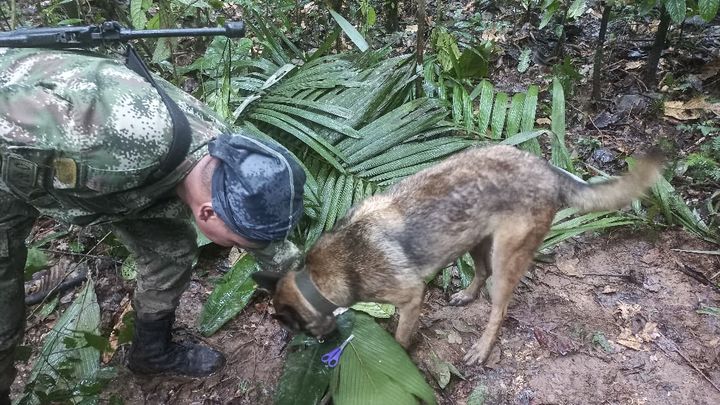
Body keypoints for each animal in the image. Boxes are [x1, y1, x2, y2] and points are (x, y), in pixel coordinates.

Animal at [255, 144, 664, 362]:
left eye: (295, 328)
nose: (322, 346)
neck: (320, 277)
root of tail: (548, 170)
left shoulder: (410, 297)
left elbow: (401, 336)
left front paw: (400, 354)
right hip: (475, 240)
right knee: (480, 273)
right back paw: (466, 295)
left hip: (505, 256)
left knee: (499, 307)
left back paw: (482, 347)